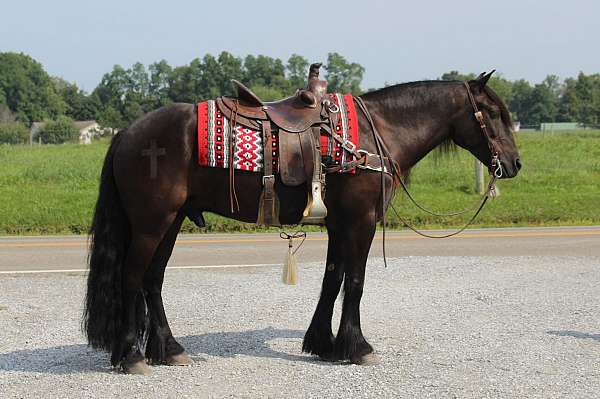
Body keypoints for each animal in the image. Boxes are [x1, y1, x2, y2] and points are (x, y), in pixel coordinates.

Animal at [83, 71, 520, 376]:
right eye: (494, 113)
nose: (514, 163)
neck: (377, 132)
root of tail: (127, 133)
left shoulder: (339, 224)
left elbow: (332, 278)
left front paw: (322, 343)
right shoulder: (360, 220)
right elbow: (355, 281)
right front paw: (357, 347)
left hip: (170, 222)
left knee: (152, 280)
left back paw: (169, 349)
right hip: (151, 223)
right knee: (132, 278)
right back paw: (131, 356)